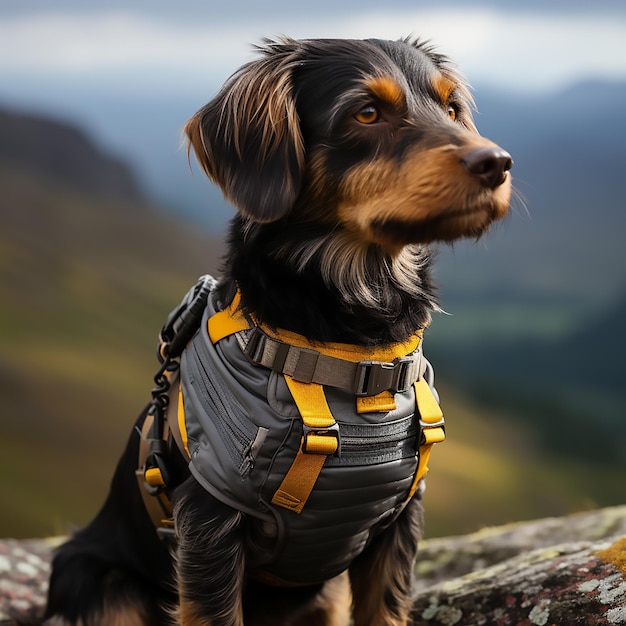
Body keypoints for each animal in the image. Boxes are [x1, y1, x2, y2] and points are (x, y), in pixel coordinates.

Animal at [45, 36, 512, 620]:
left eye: (451, 110)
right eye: (366, 113)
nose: (497, 163)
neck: (353, 353)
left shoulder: (399, 522)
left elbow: (385, 610)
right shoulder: (209, 523)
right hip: (96, 578)